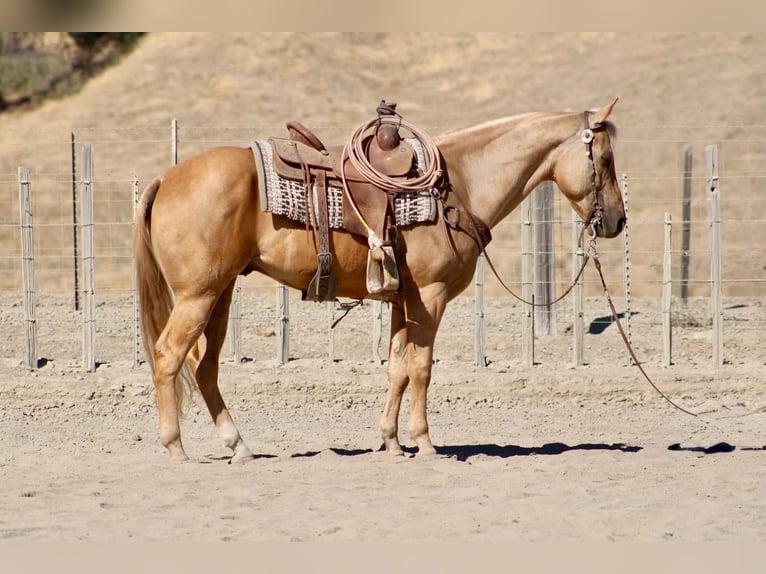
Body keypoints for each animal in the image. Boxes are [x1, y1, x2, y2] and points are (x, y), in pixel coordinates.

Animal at [134, 99, 626, 462]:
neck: (460, 185)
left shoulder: (402, 300)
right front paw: (425, 443)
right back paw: (176, 449)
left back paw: (239, 447)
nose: (617, 221)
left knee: (205, 368)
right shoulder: (430, 297)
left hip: (220, 293)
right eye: (604, 159)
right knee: (168, 356)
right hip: (198, 296)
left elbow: (397, 368)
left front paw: (390, 442)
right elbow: (421, 368)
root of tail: (167, 177)